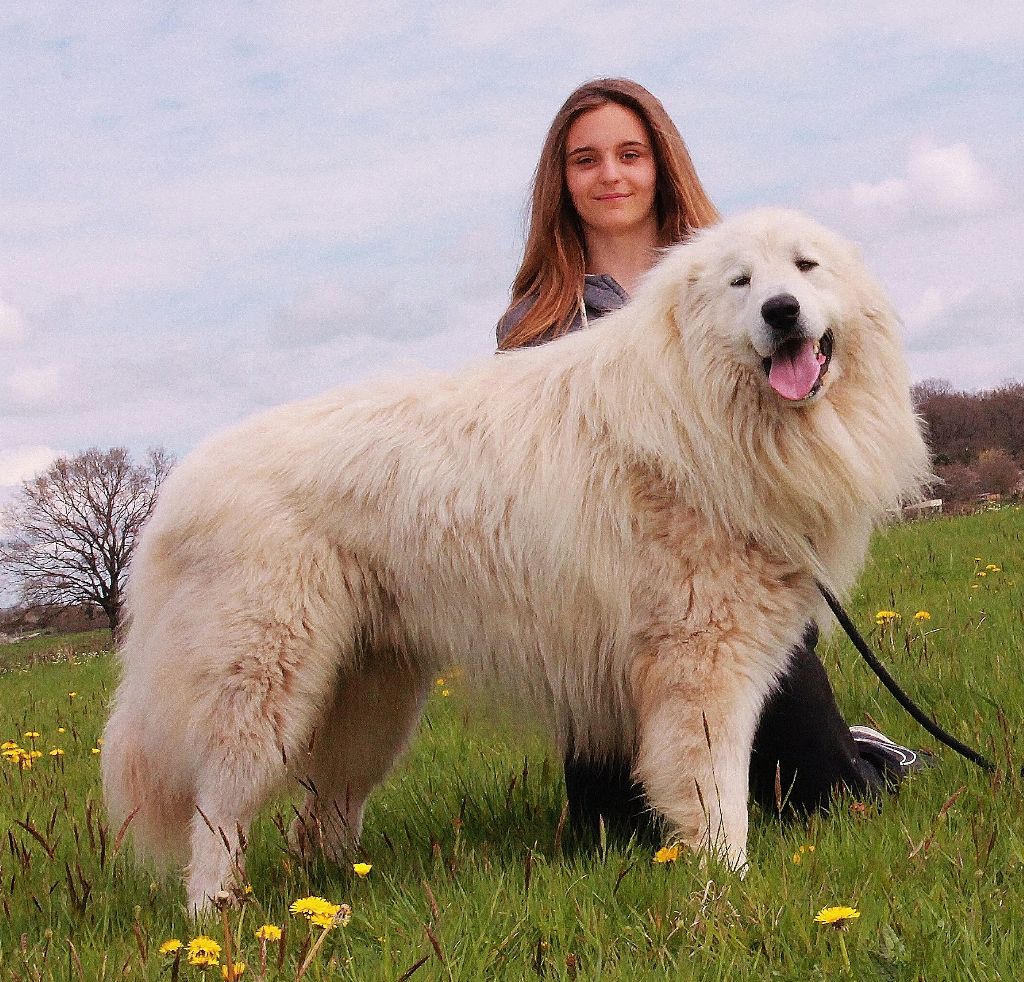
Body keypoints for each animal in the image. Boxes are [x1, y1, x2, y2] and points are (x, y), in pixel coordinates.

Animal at [101, 210, 929, 909]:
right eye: (740, 283)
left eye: (805, 267)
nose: (781, 311)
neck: (704, 407)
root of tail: (176, 489)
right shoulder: (703, 663)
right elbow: (718, 792)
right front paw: (727, 884)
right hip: (264, 689)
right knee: (219, 811)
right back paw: (216, 918)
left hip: (370, 701)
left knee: (321, 811)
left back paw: (337, 896)